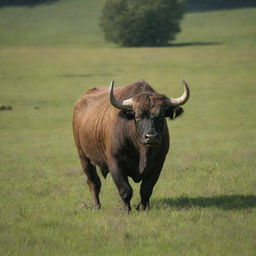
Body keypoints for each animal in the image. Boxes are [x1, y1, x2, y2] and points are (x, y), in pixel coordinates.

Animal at [72, 79, 190, 211]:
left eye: (160, 116)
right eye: (137, 116)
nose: (151, 137)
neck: (142, 151)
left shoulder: (158, 163)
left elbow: (146, 189)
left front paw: (143, 207)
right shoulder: (115, 162)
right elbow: (125, 189)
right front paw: (126, 209)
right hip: (83, 156)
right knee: (93, 182)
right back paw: (96, 205)